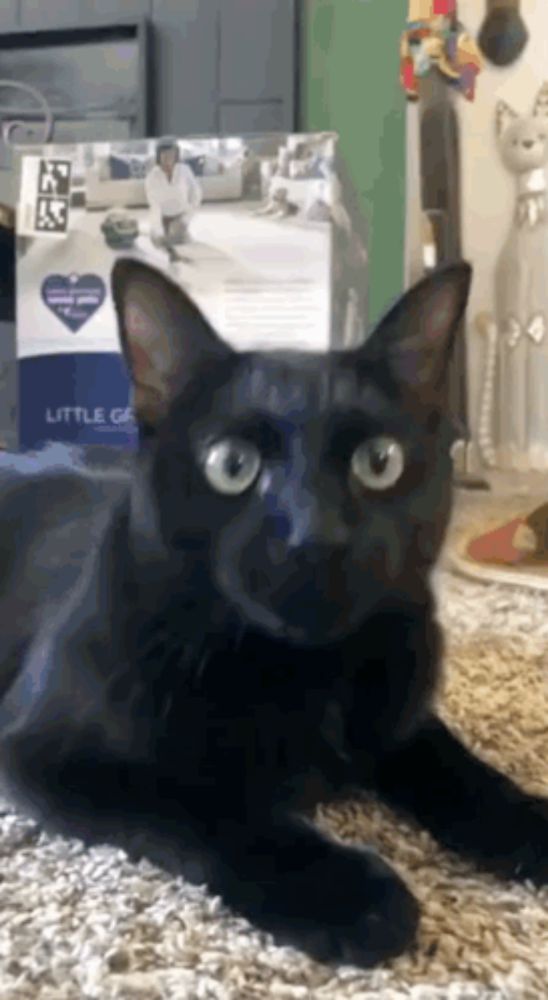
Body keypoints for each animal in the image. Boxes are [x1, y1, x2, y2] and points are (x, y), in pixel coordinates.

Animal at [0, 258, 544, 968]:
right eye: (231, 465)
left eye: (379, 461)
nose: (317, 536)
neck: (306, 673)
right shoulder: (45, 747)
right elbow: (199, 804)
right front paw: (345, 893)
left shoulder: (398, 707)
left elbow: (456, 765)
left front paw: (529, 821)